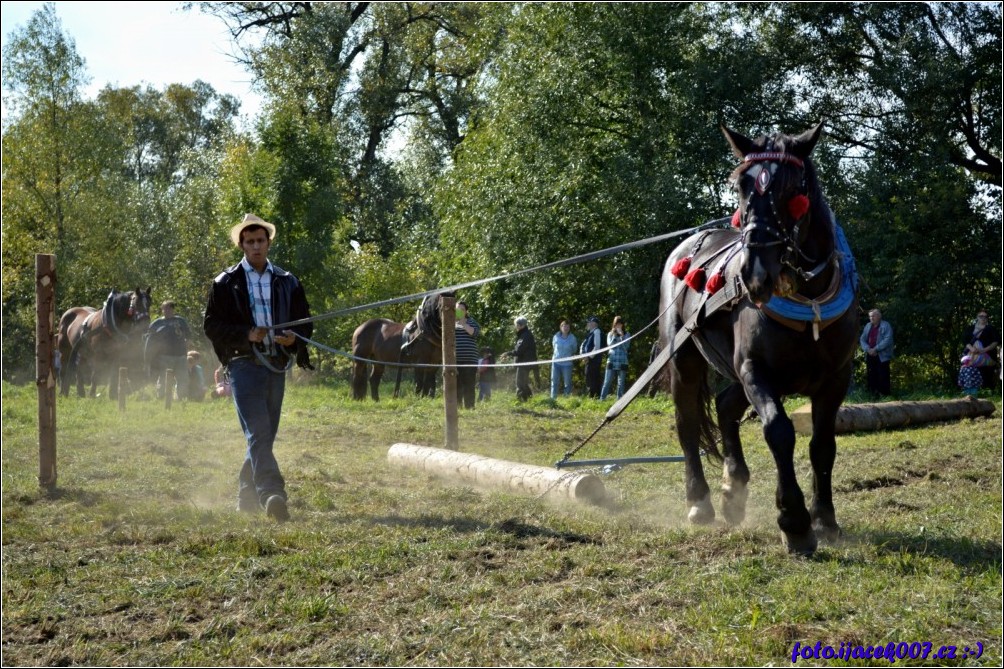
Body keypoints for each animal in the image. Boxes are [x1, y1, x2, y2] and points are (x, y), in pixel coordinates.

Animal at [662, 122, 859, 554]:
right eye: (740, 185)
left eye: (792, 190)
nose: (753, 274)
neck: (809, 299)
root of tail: (686, 247)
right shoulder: (755, 370)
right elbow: (778, 431)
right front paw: (794, 522)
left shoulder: (836, 378)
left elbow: (823, 444)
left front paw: (825, 519)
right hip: (685, 360)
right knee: (688, 423)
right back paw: (699, 503)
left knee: (724, 406)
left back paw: (733, 488)